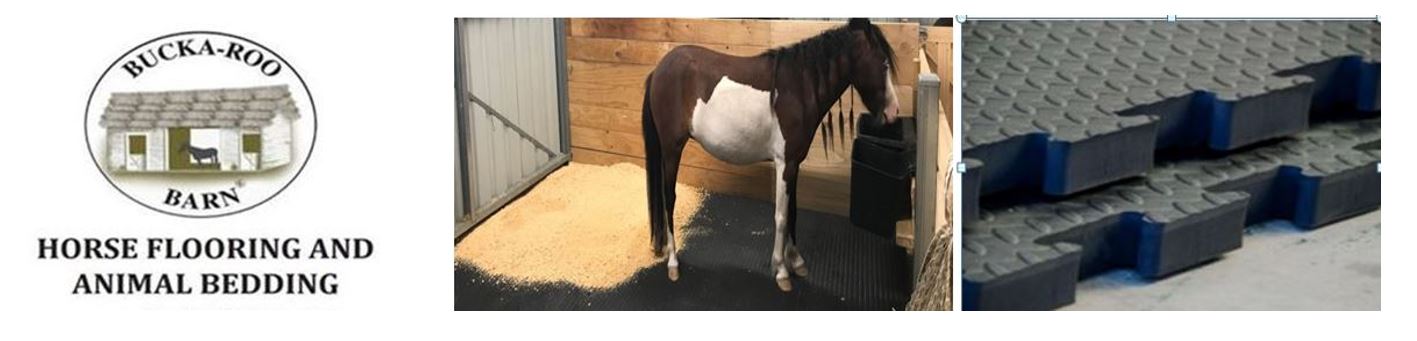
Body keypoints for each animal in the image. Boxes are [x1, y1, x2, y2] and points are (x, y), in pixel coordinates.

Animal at [643, 18, 895, 290]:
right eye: (883, 63)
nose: (893, 112)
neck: (798, 87)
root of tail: (659, 70)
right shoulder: (785, 164)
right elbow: (782, 216)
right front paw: (782, 270)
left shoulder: (794, 163)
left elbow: (793, 211)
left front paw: (796, 261)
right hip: (671, 149)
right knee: (669, 198)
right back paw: (673, 262)